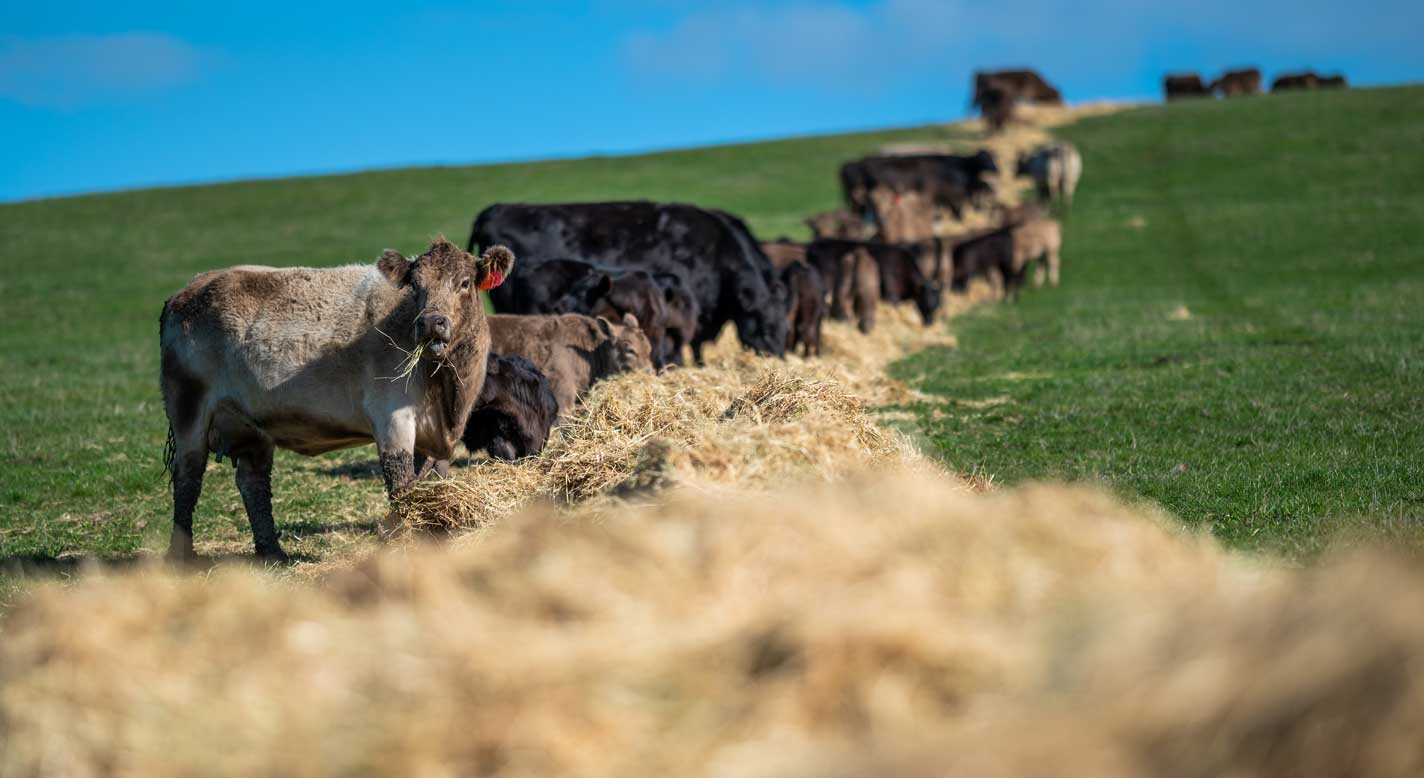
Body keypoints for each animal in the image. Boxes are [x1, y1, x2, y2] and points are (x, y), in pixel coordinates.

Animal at [158, 236, 515, 558]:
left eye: (465, 282)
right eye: (415, 286)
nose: (430, 322)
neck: (449, 394)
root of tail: (189, 288)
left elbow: (424, 484)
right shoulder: (393, 418)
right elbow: (402, 487)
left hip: (249, 426)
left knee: (253, 482)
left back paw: (272, 553)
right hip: (188, 407)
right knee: (188, 477)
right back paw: (181, 556)